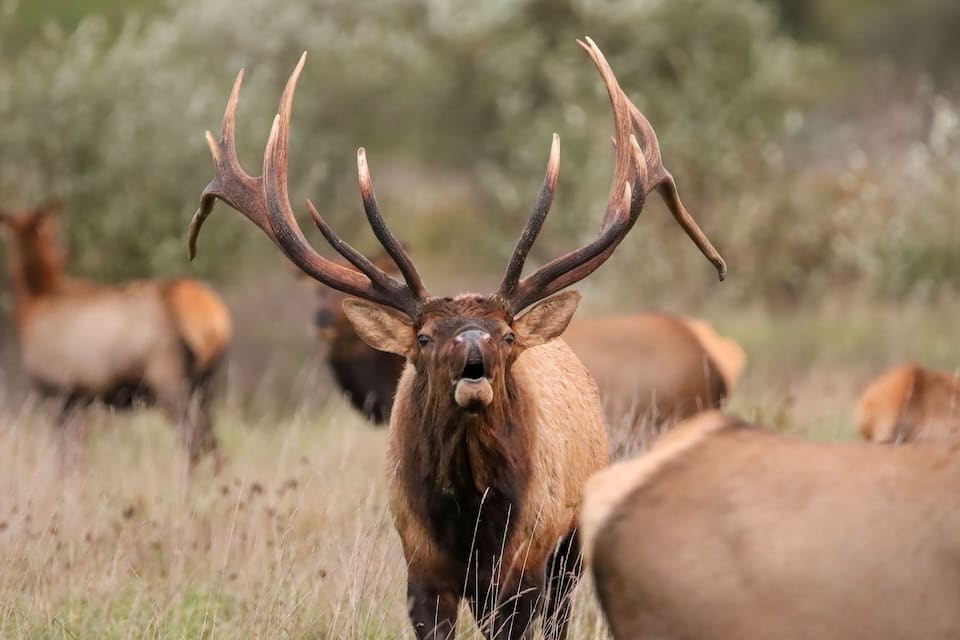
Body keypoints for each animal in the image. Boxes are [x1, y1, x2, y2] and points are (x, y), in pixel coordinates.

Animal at [0, 199, 232, 471]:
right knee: (213, 443)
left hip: (170, 382)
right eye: (52, 235)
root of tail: (214, 319)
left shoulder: (56, 392)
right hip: (205, 387)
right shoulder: (79, 399)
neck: (32, 304)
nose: (64, 253)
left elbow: (66, 458)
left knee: (193, 441)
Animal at [188, 37, 725, 639]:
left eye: (507, 335)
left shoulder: (524, 566)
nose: (473, 353)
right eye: (423, 336)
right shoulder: (421, 570)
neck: (470, 520)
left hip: (573, 541)